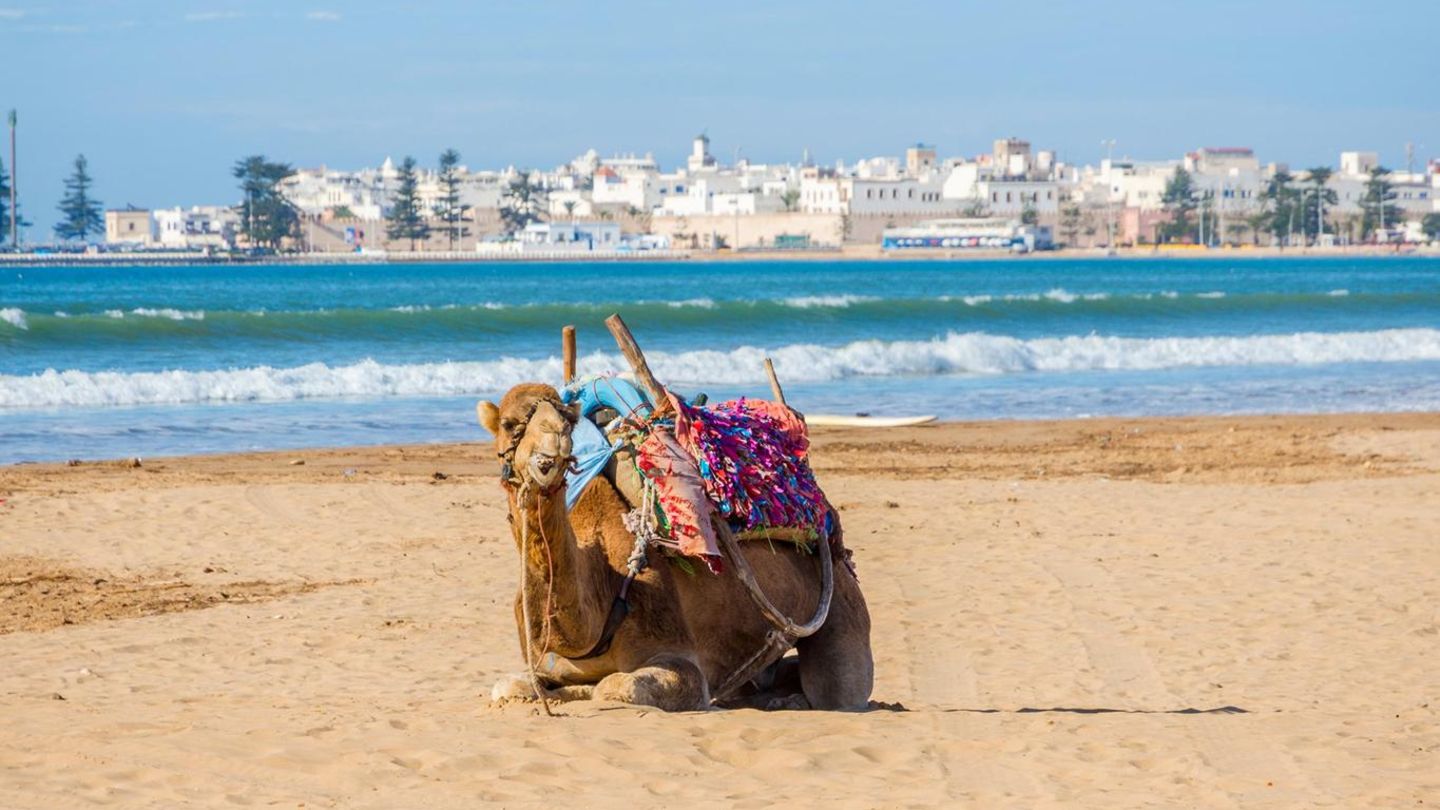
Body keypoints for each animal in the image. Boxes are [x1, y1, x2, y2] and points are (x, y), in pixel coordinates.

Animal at [478, 382, 874, 711]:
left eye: (566, 420)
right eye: (511, 424)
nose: (555, 441)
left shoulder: (679, 656)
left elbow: (615, 686)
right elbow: (509, 686)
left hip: (841, 605)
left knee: (838, 689)